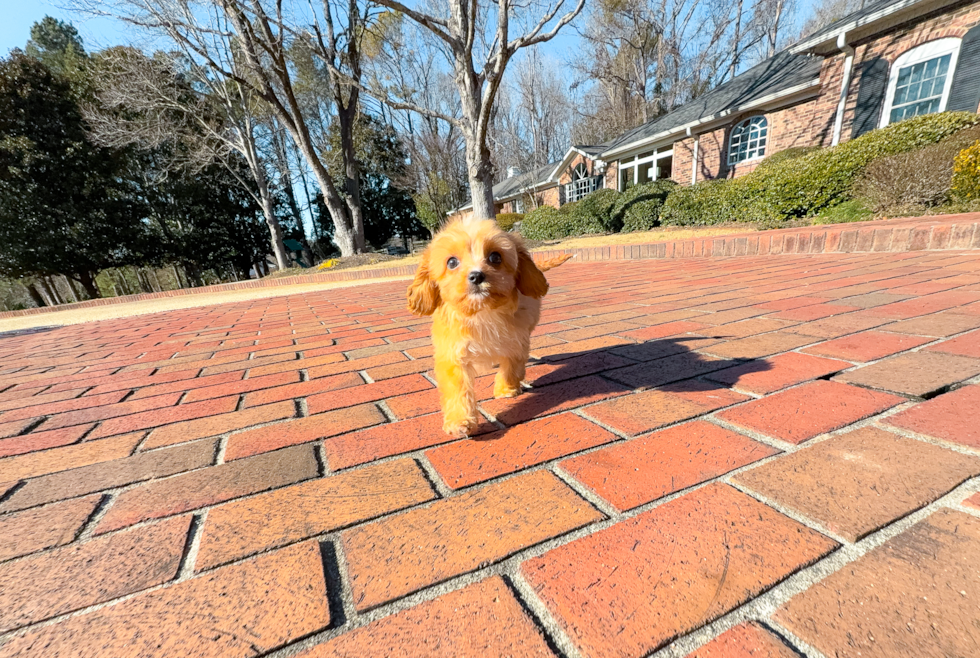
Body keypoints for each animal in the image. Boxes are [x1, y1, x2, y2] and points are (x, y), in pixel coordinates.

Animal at [408, 218, 576, 438]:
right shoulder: (453, 352)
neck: (482, 313)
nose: (477, 276)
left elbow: (511, 367)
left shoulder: (516, 342)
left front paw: (506, 389)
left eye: (495, 257)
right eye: (451, 262)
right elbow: (457, 387)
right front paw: (460, 421)